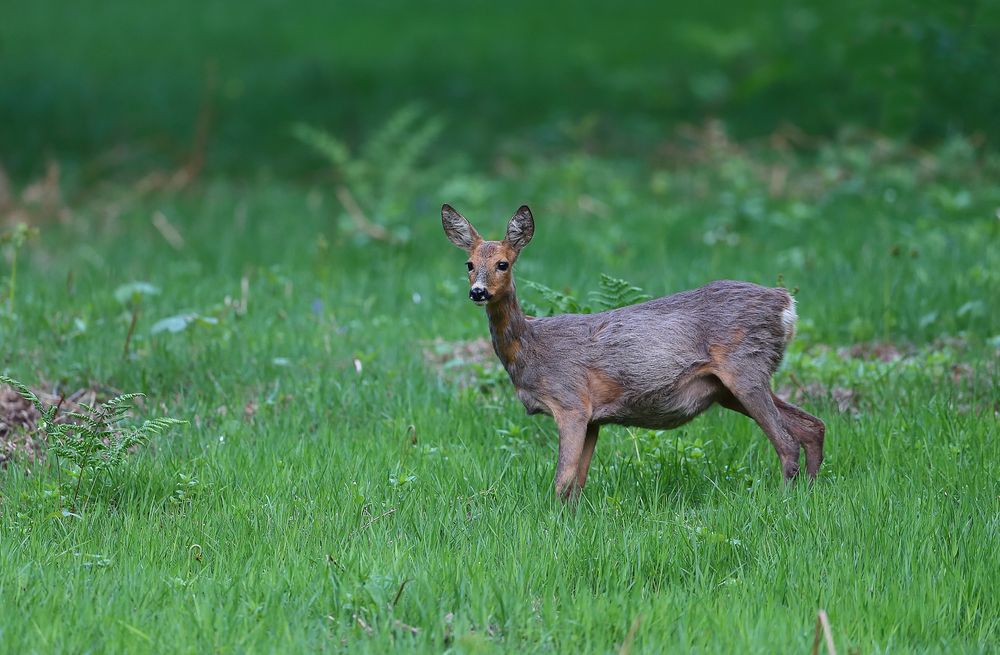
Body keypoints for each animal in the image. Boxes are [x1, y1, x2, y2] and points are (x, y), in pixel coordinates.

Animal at [442, 202, 824, 500]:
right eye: (469, 264)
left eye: (503, 264)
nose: (477, 292)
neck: (531, 350)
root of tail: (786, 304)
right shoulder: (594, 417)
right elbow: (577, 485)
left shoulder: (570, 402)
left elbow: (562, 483)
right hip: (728, 388)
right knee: (813, 426)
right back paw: (808, 496)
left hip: (745, 367)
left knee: (787, 442)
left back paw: (784, 502)